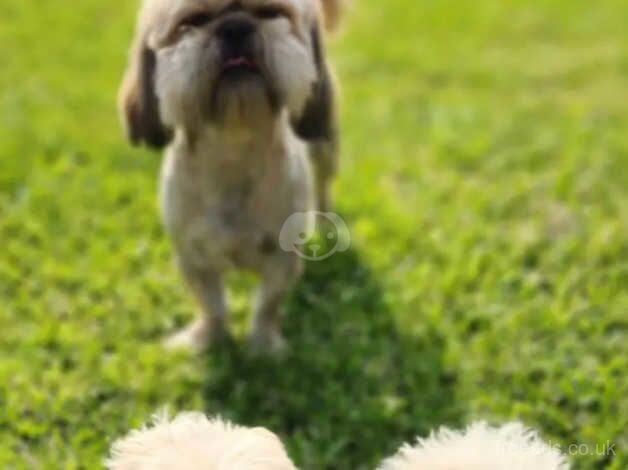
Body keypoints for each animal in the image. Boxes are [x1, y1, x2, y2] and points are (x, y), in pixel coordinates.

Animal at [118, 0, 344, 352]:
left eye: (271, 13)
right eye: (193, 20)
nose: (235, 26)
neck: (233, 147)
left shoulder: (282, 259)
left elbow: (267, 304)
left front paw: (263, 347)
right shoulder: (193, 257)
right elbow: (212, 304)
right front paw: (206, 339)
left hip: (325, 152)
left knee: (323, 189)